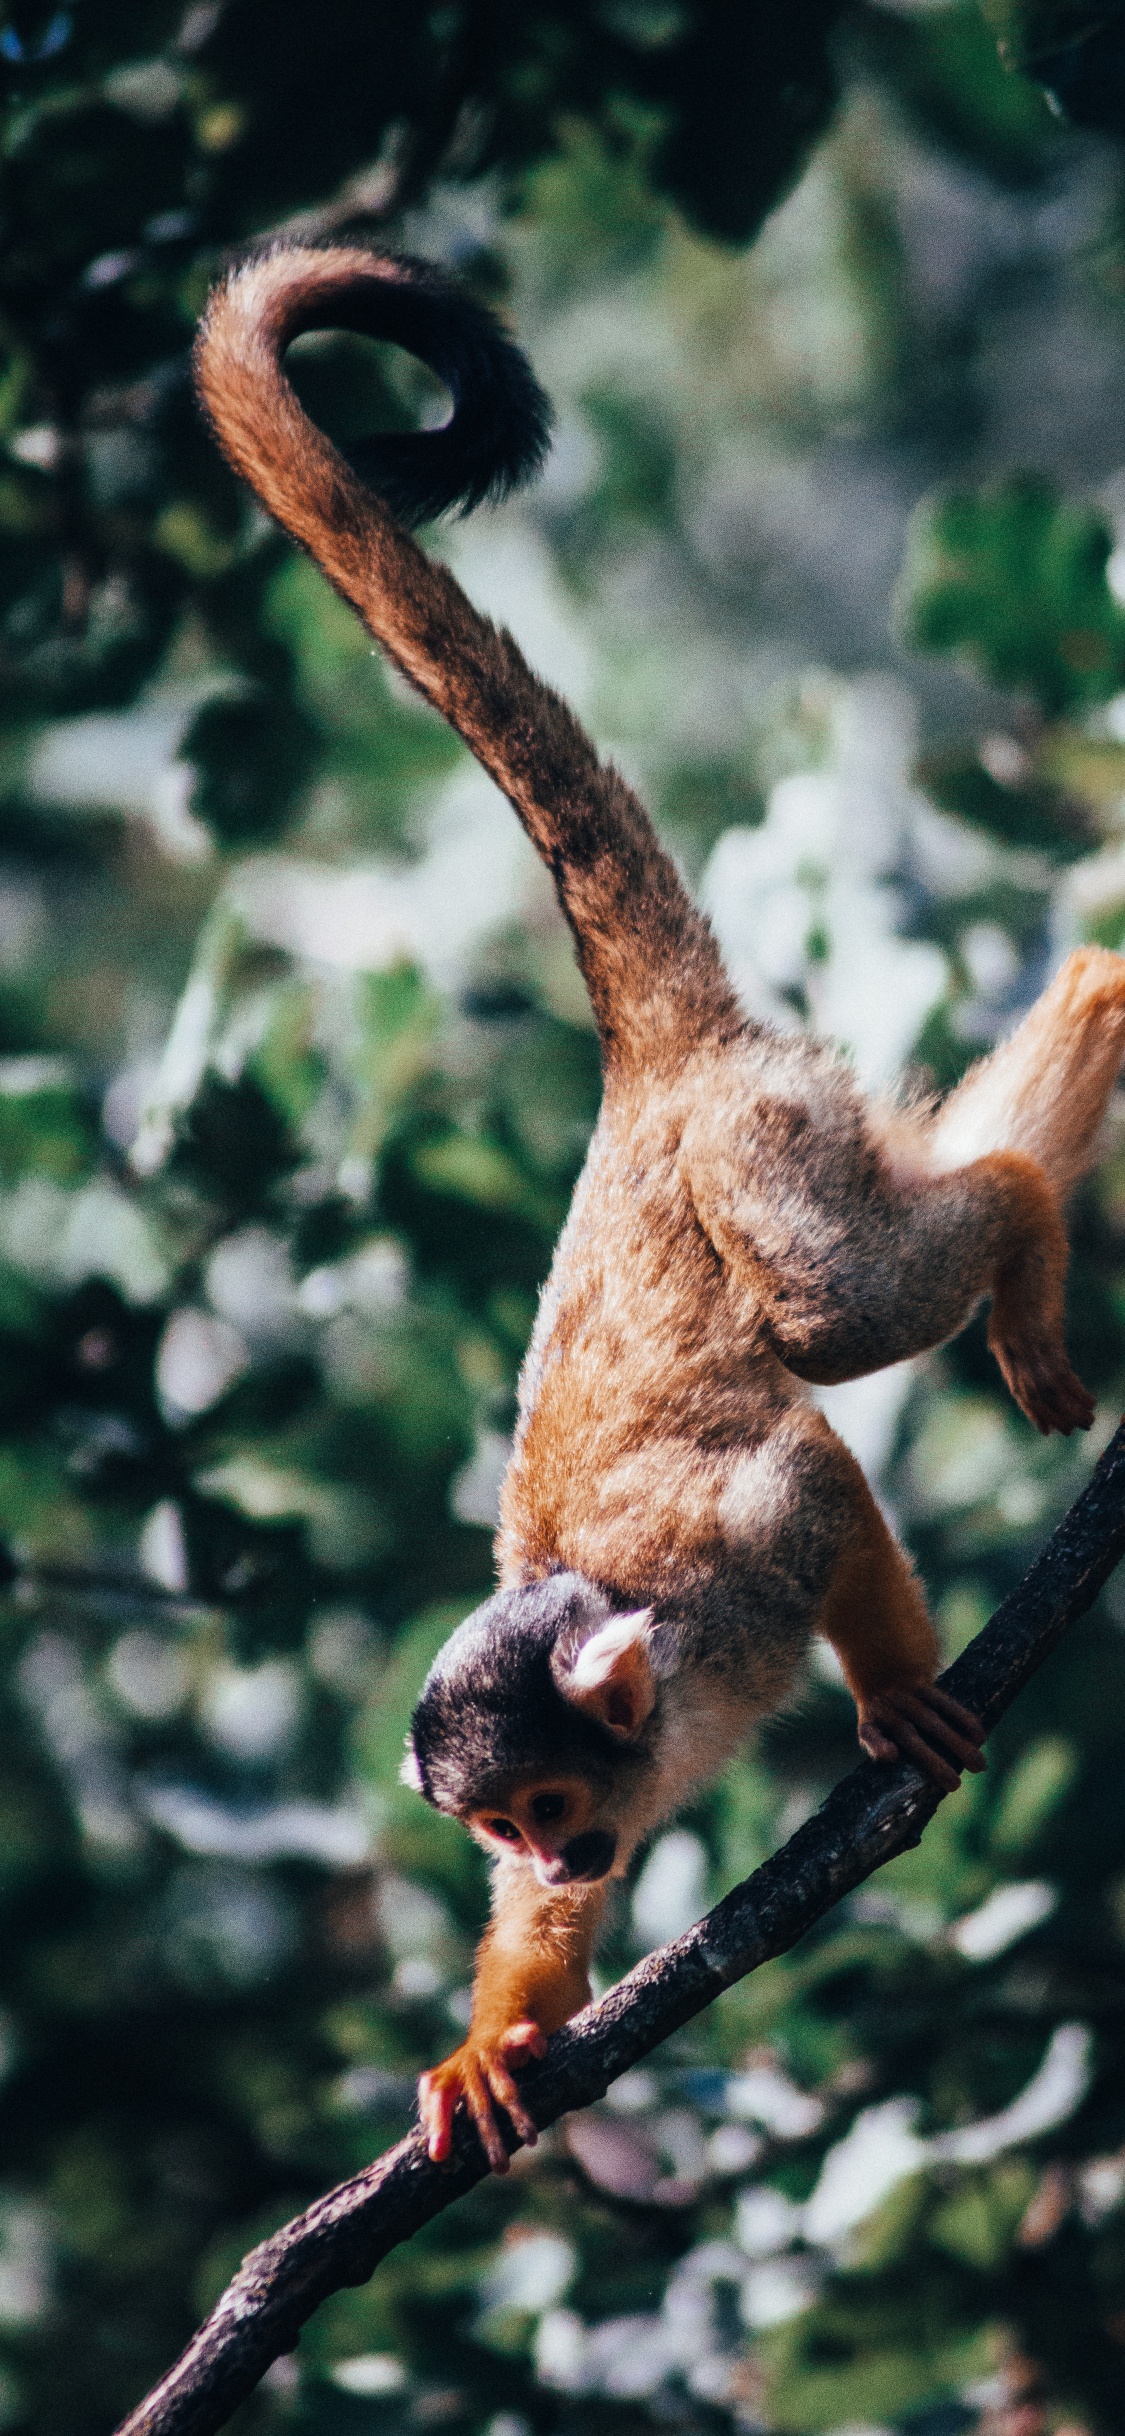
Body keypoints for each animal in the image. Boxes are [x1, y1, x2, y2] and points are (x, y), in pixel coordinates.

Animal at [195, 243, 1125, 2176]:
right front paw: (495, 2034)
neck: (665, 1711)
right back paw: (1084, 1023)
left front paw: (891, 1699)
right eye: (502, 1835)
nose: (556, 1849)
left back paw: (1021, 1211)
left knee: (839, 1313)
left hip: (760, 1143)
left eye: (549, 1796)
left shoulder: (726, 1576)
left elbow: (813, 1473)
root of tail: (646, 1065)